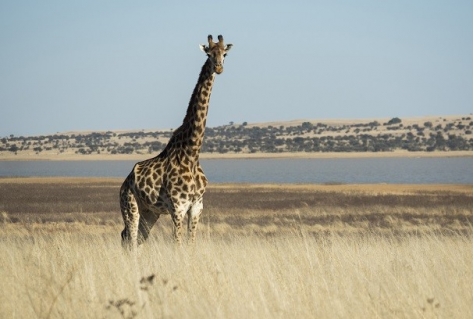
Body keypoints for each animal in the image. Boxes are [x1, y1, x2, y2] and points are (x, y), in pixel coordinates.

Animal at [117, 35, 231, 250]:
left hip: (150, 212)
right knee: (130, 240)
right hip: (130, 206)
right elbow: (177, 245)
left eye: (224, 54)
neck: (192, 153)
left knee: (132, 239)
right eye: (209, 54)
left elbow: (190, 244)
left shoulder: (196, 206)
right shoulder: (178, 207)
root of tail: (125, 183)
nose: (219, 68)